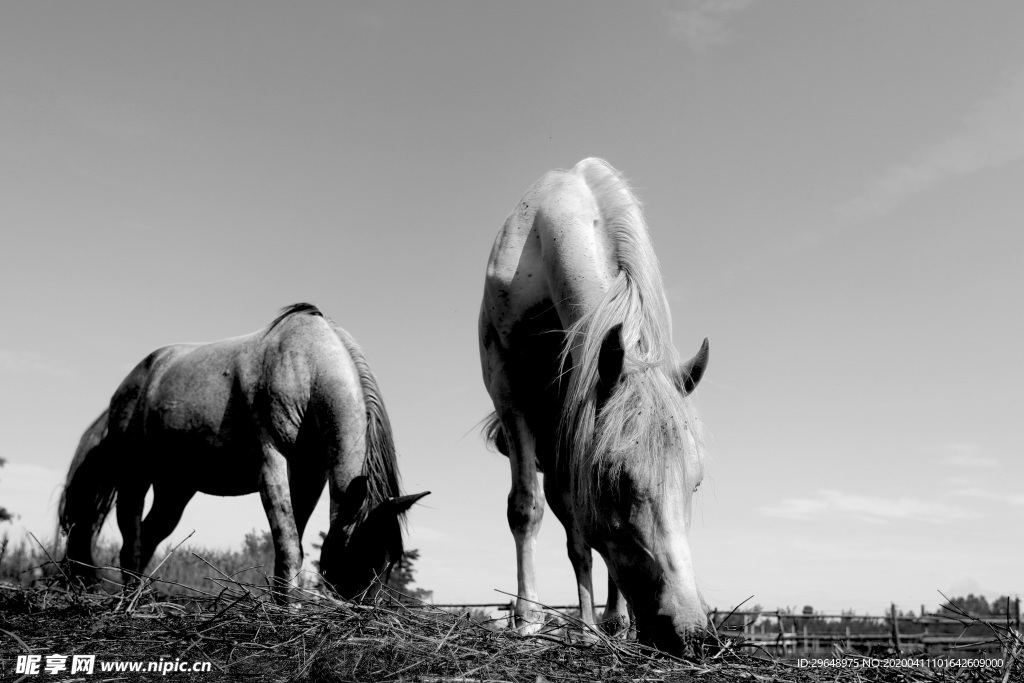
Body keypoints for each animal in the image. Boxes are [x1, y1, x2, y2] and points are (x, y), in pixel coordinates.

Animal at [59, 305, 428, 598]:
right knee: (131, 538)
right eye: (363, 553)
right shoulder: (272, 463)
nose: (365, 611)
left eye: (389, 562)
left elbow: (291, 541)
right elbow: (288, 544)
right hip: (135, 475)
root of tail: (124, 389)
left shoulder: (309, 476)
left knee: (149, 536)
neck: (305, 365)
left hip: (175, 489)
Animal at [481, 158, 712, 651]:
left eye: (696, 484)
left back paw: (608, 623)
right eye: (614, 481)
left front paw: (611, 622)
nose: (688, 631)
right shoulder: (509, 391)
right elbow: (526, 508)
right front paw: (527, 621)